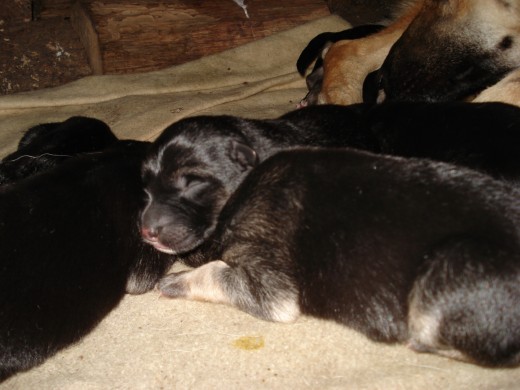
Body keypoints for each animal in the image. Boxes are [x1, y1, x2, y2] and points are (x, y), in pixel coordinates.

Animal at [157, 148, 520, 368]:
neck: (239, 190)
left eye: (190, 185)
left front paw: (173, 281)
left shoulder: (271, 285)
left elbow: (215, 271)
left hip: (453, 262)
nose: (148, 231)